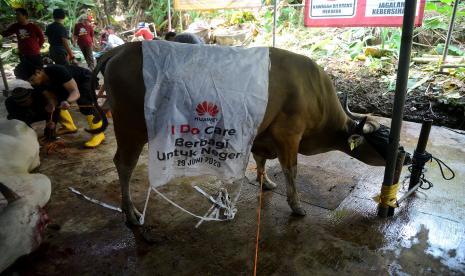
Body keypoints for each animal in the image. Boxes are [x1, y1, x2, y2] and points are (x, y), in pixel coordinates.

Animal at [92, 42, 400, 225]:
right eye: (382, 141)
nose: (404, 157)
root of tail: (121, 49)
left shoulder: (263, 134)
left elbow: (262, 161)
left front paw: (266, 183)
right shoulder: (289, 133)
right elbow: (291, 170)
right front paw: (296, 206)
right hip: (130, 128)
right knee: (123, 164)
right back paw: (131, 213)